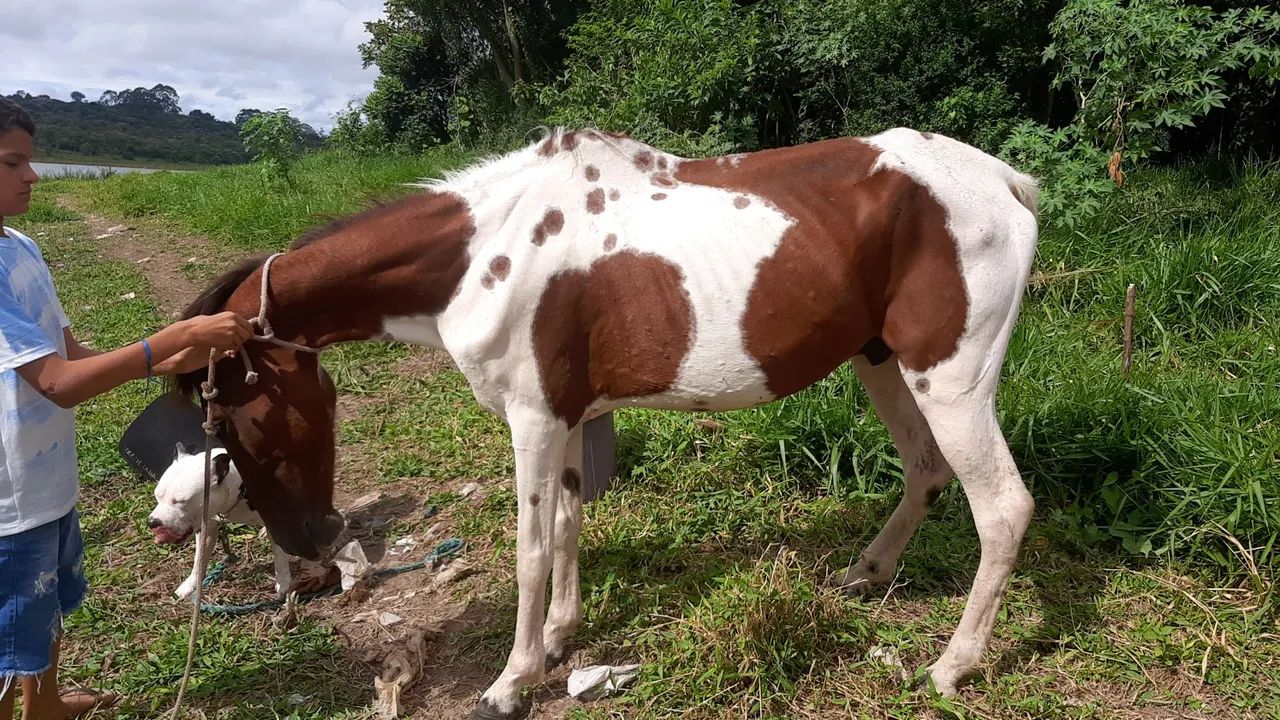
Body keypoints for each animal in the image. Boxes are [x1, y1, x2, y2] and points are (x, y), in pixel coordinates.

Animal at [176, 126, 1040, 718]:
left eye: (233, 414)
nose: (310, 547)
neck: (486, 252)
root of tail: (1005, 179)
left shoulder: (530, 419)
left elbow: (530, 551)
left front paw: (510, 682)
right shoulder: (564, 418)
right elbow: (566, 528)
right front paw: (559, 639)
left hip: (950, 380)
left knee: (1003, 508)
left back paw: (952, 667)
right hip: (882, 362)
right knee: (927, 473)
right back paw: (868, 573)